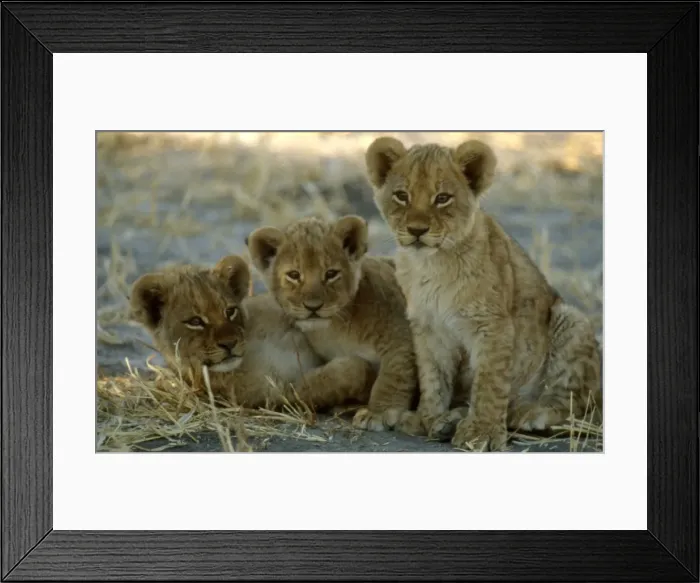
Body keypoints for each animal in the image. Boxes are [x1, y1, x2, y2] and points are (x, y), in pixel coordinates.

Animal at [246, 215, 421, 433]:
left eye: (331, 274)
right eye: (294, 275)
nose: (313, 306)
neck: (336, 329)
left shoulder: (400, 332)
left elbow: (394, 374)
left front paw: (378, 412)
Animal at [365, 136, 602, 451]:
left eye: (442, 198)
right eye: (402, 195)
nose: (416, 230)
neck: (432, 265)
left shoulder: (493, 325)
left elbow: (489, 382)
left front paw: (482, 432)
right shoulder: (429, 328)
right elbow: (433, 376)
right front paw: (427, 418)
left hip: (572, 320)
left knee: (577, 404)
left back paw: (529, 412)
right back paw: (451, 419)